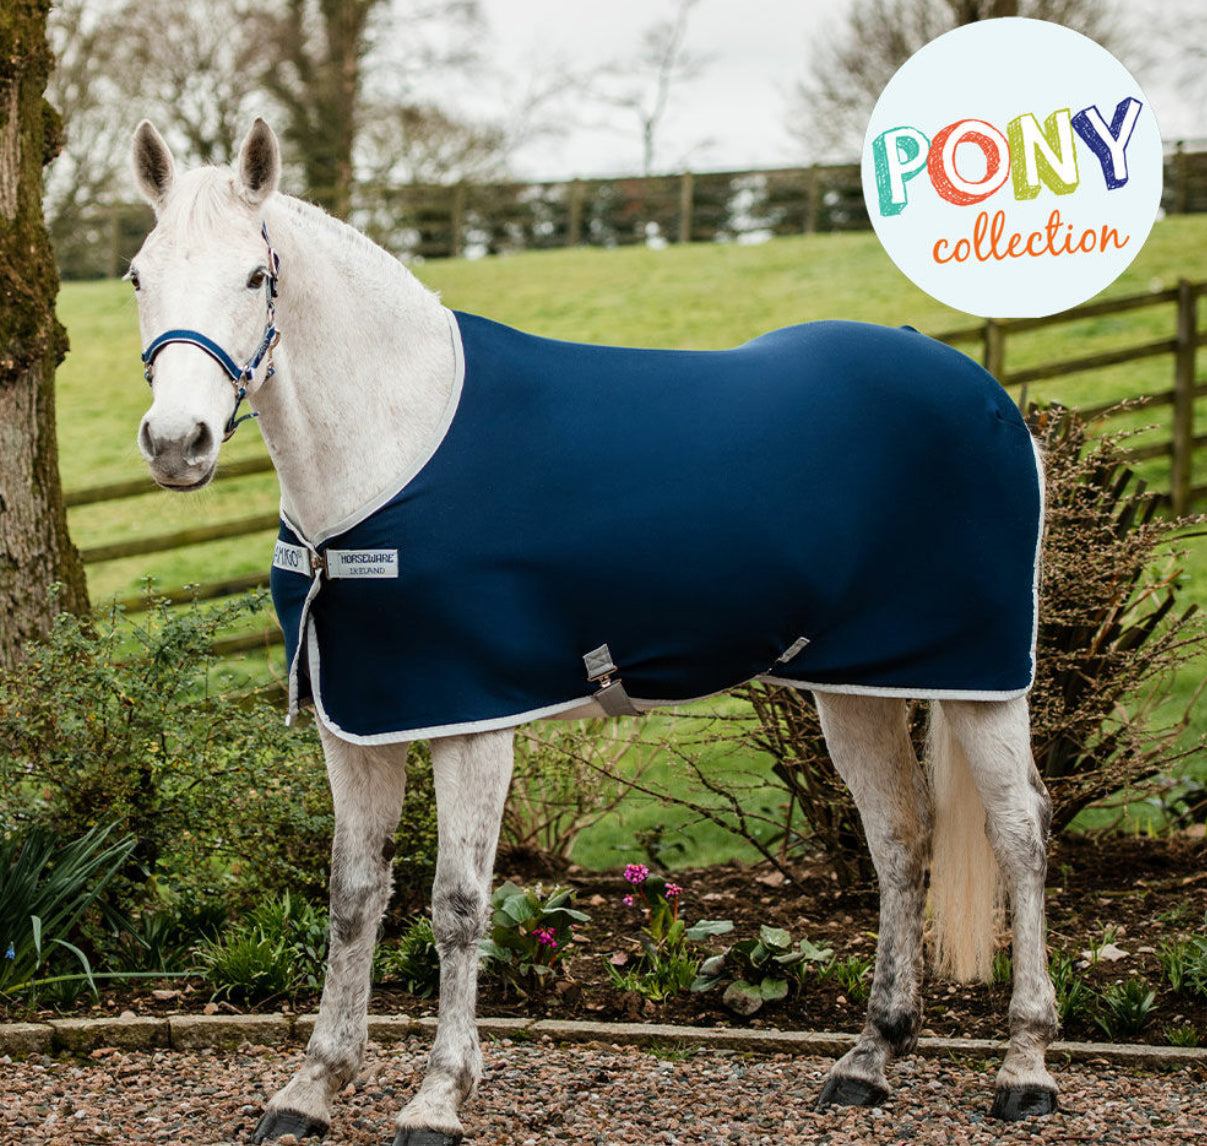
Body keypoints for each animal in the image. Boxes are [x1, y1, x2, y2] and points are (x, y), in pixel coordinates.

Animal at [128, 118, 1059, 1145]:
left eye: (256, 275)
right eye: (137, 276)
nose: (175, 443)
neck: (390, 447)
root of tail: (974, 385)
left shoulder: (469, 722)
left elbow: (456, 905)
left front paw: (438, 1097)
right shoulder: (359, 725)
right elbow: (352, 899)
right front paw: (310, 1088)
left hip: (980, 677)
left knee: (1019, 833)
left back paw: (1024, 1068)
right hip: (853, 686)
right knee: (897, 837)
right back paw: (870, 1057)